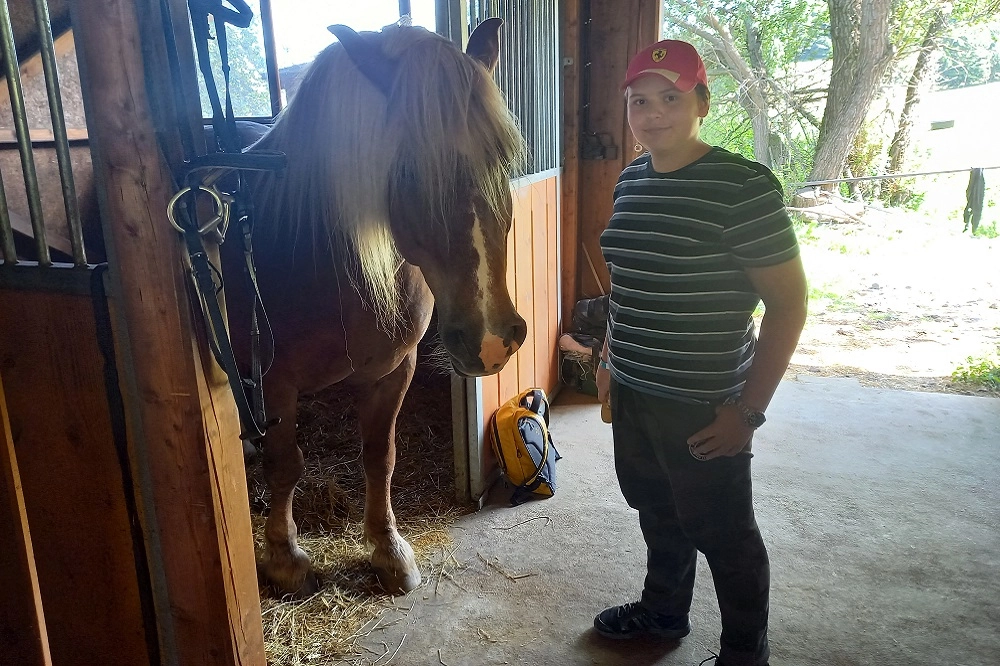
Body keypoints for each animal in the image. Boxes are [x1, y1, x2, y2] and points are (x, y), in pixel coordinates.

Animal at [221, 18, 527, 596]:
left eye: (504, 160)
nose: (492, 341)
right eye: (408, 171)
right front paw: (284, 559)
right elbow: (285, 464)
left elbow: (379, 457)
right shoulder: (275, 380)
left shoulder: (392, 369)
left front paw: (389, 551)